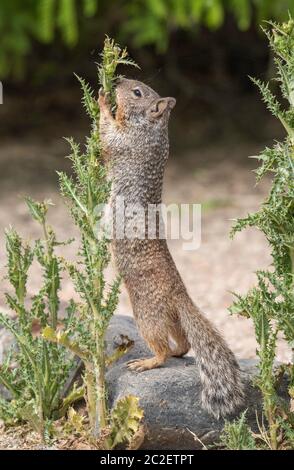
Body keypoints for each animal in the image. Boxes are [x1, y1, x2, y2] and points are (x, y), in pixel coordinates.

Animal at [97, 78, 245, 418]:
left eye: (138, 92)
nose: (118, 79)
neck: (155, 129)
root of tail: (180, 294)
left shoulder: (125, 141)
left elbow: (107, 134)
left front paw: (103, 100)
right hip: (171, 318)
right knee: (185, 343)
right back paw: (176, 353)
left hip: (147, 316)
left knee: (162, 348)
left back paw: (149, 361)